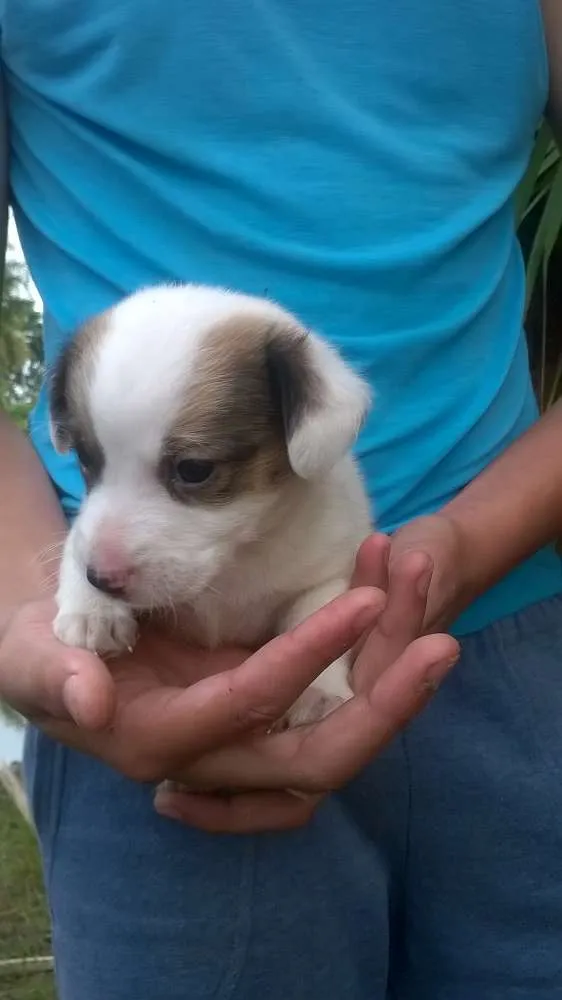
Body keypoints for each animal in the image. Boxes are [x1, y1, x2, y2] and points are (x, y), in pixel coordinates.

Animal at [49, 284, 372, 728]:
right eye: (84, 457)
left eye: (194, 469)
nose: (100, 578)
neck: (236, 557)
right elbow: (77, 540)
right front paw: (92, 607)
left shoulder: (328, 572)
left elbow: (315, 614)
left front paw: (319, 689)